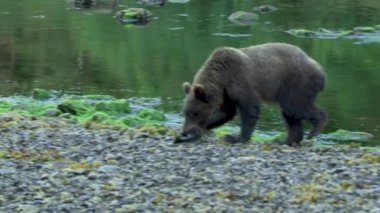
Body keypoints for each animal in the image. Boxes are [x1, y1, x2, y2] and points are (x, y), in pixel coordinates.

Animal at [180, 42, 326, 145]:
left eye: (194, 112)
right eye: (185, 112)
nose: (184, 132)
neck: (220, 76)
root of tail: (319, 69)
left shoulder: (240, 80)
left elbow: (249, 108)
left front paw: (236, 137)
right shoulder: (226, 92)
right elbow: (227, 112)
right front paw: (205, 127)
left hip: (296, 82)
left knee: (295, 107)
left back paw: (314, 130)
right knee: (290, 114)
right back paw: (284, 140)